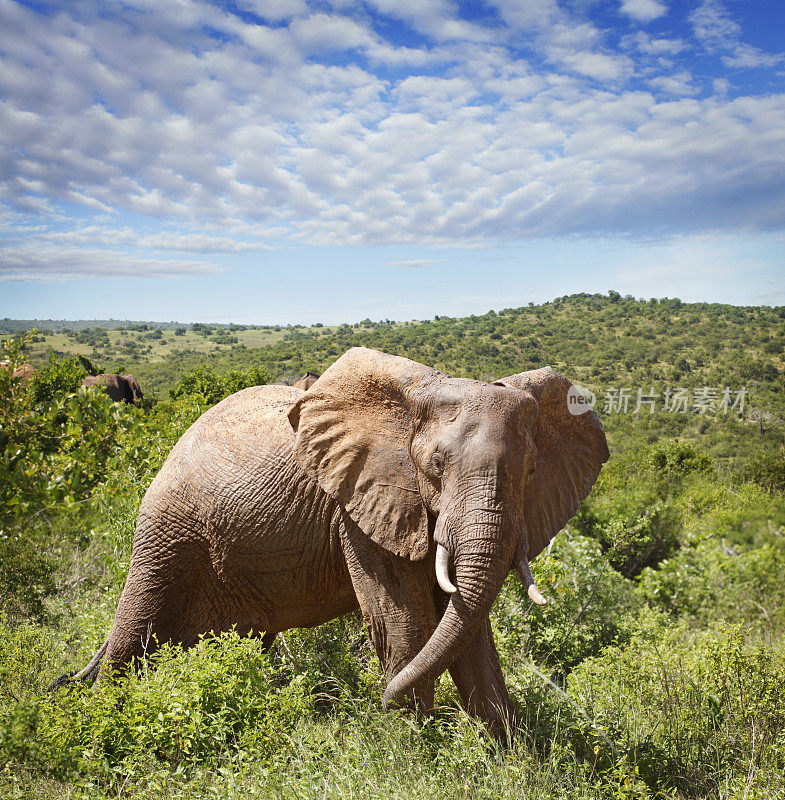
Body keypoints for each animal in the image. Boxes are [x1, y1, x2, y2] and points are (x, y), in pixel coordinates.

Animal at [58, 346, 608, 736]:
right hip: (167, 532)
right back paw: (102, 717)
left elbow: (469, 629)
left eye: (531, 472)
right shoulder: (360, 505)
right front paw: (413, 748)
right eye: (434, 466)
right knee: (134, 630)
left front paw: (510, 755)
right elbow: (405, 621)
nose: (375, 704)